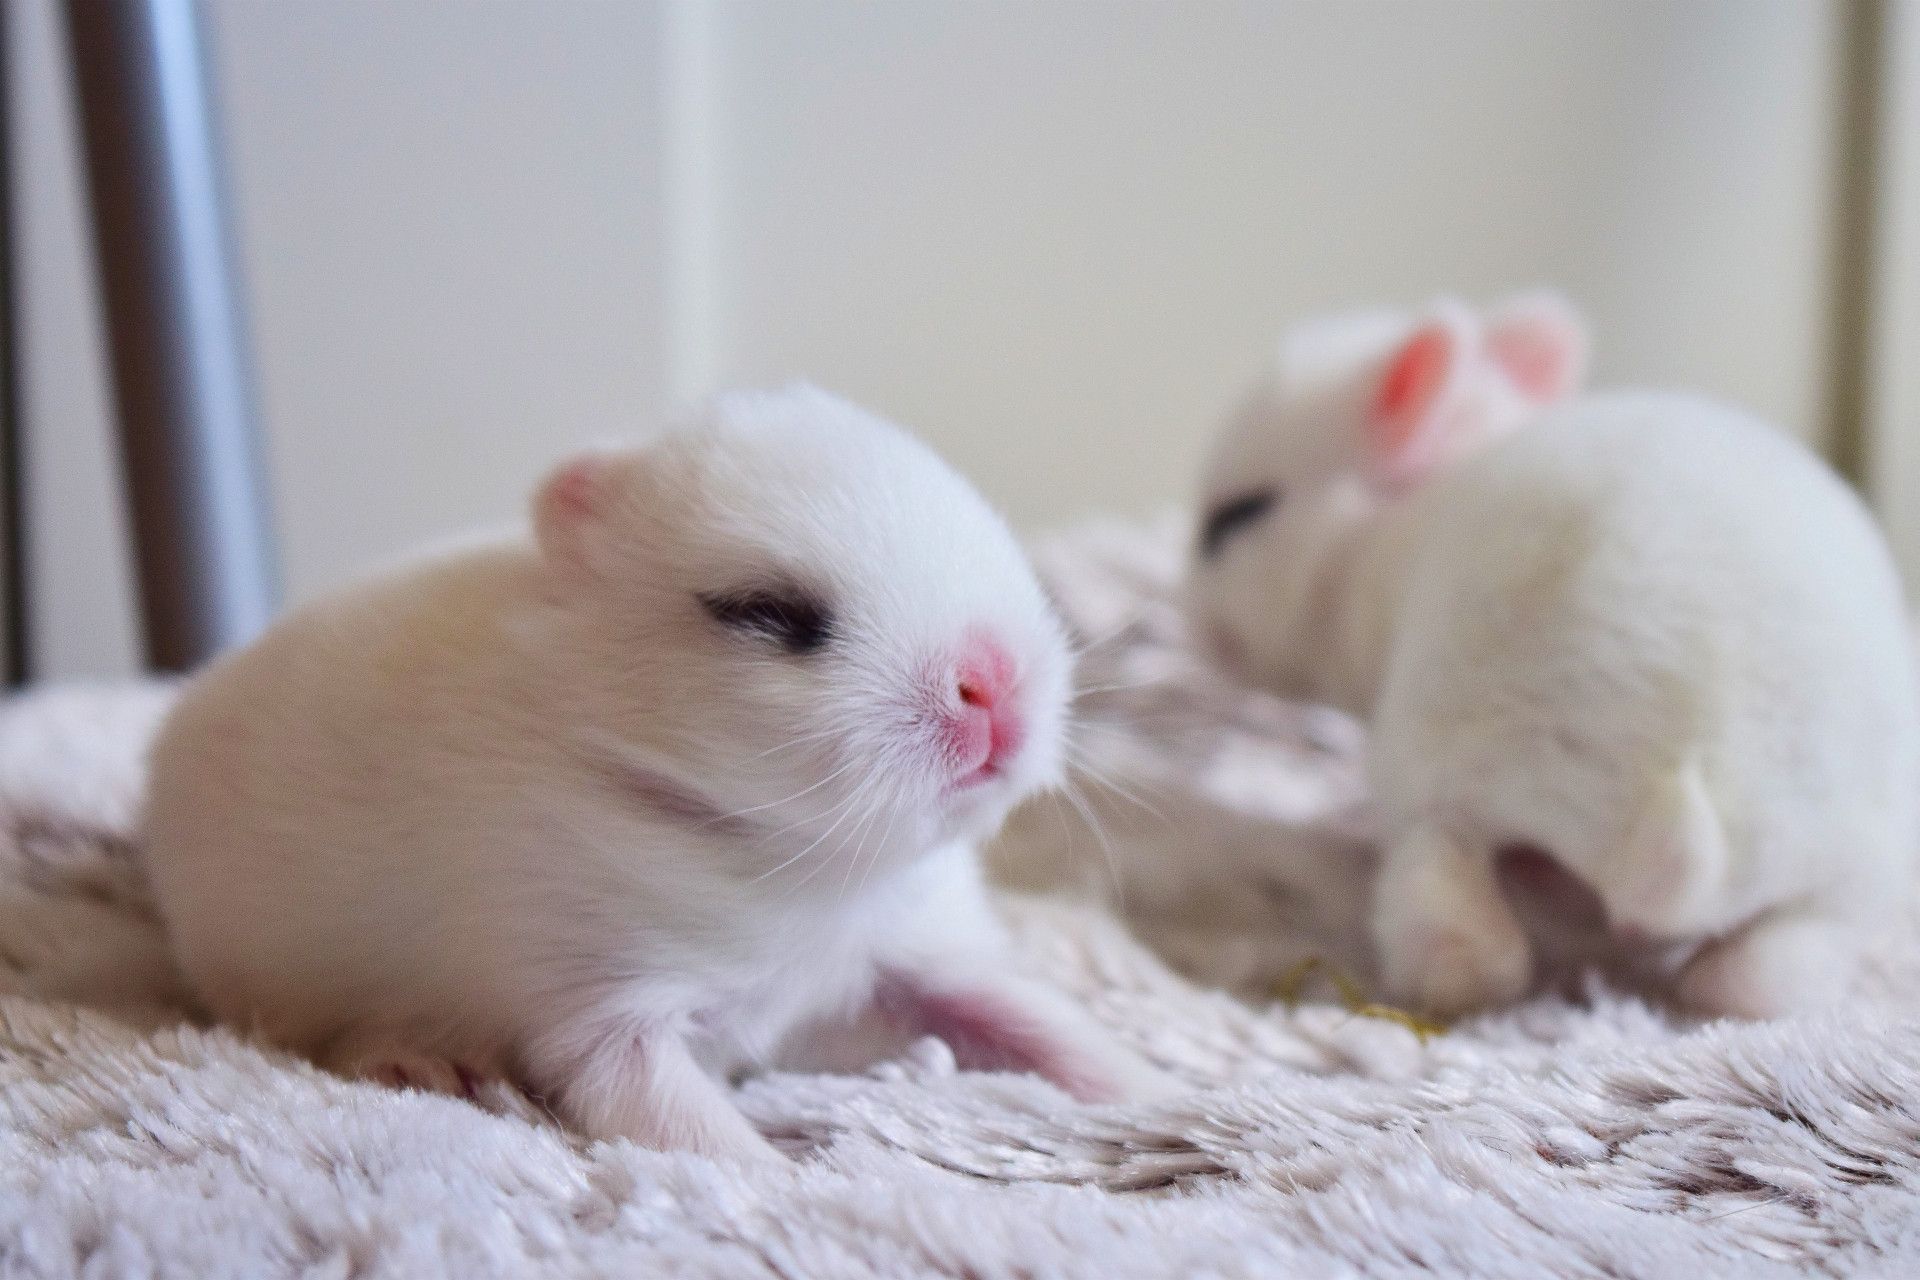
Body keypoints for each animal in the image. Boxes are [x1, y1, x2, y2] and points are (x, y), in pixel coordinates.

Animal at [142, 385, 1159, 1166]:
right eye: (767, 614)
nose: (997, 682)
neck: (794, 862)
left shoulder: (916, 958)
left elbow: (1037, 1021)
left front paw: (1152, 1092)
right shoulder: (600, 1004)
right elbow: (684, 1126)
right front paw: (785, 1179)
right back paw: (422, 1064)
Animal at [1182, 297, 1920, 1020]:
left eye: (1237, 519)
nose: (1196, 626)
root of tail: (1680, 796)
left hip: (1441, 792)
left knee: (1469, 939)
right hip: (1848, 874)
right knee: (1762, 973)